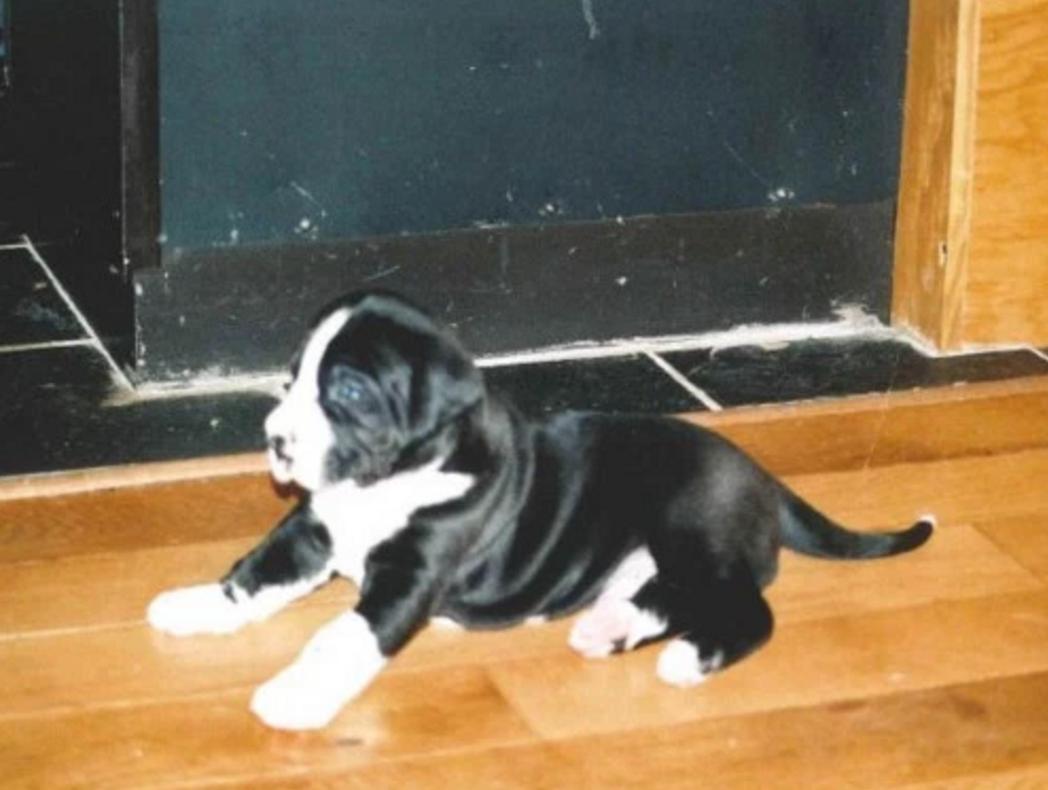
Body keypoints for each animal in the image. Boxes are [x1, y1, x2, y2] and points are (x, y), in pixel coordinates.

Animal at [147, 291, 934, 730]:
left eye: (348, 391)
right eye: (293, 379)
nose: (275, 440)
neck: (390, 482)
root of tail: (763, 478)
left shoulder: (410, 574)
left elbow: (342, 637)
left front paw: (296, 697)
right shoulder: (313, 530)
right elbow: (255, 573)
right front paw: (194, 606)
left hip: (692, 531)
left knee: (749, 612)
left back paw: (689, 658)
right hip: (661, 557)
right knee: (671, 596)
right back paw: (611, 628)